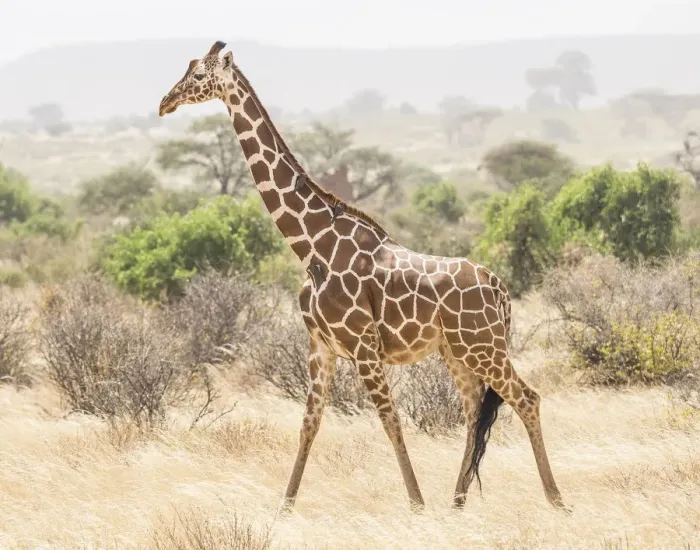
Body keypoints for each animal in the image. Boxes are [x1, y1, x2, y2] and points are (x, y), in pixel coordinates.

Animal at [158, 41, 569, 513]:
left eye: (198, 76)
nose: (165, 102)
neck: (311, 245)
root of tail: (501, 289)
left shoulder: (362, 345)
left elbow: (390, 421)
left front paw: (416, 505)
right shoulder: (321, 345)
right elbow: (309, 423)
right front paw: (284, 509)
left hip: (483, 346)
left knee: (526, 398)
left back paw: (555, 500)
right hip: (457, 351)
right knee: (474, 411)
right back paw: (457, 501)